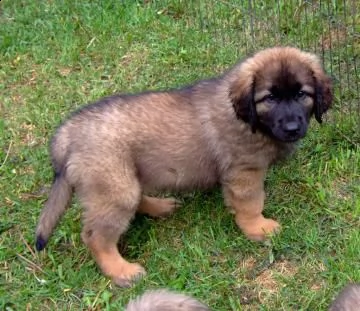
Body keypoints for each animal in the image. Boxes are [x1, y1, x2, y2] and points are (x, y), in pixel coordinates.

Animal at [35, 46, 332, 288]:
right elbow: (250, 203)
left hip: (126, 179)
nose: (292, 128)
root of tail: (67, 134)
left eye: (301, 94)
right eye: (270, 98)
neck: (251, 120)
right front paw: (258, 228)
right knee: (96, 236)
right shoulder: (244, 172)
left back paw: (161, 207)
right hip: (114, 186)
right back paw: (121, 270)